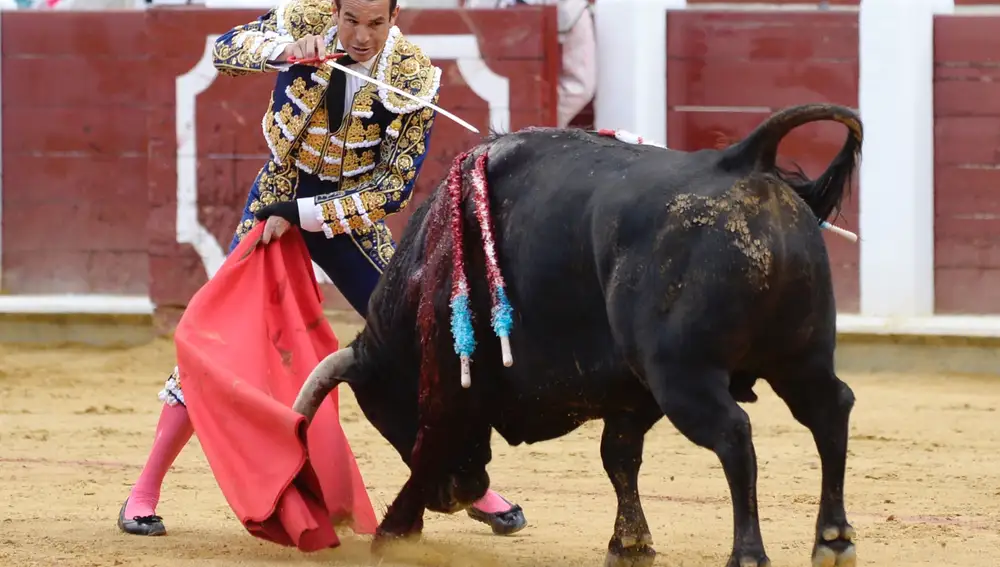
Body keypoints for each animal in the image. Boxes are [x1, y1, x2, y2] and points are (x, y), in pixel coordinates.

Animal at [292, 103, 864, 567]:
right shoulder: (630, 394)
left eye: (387, 413)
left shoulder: (449, 384)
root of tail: (741, 161)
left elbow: (432, 444)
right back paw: (832, 540)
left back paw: (748, 553)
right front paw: (629, 545)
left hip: (686, 376)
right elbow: (619, 457)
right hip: (802, 355)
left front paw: (392, 532)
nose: (458, 493)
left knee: (734, 435)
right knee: (829, 410)